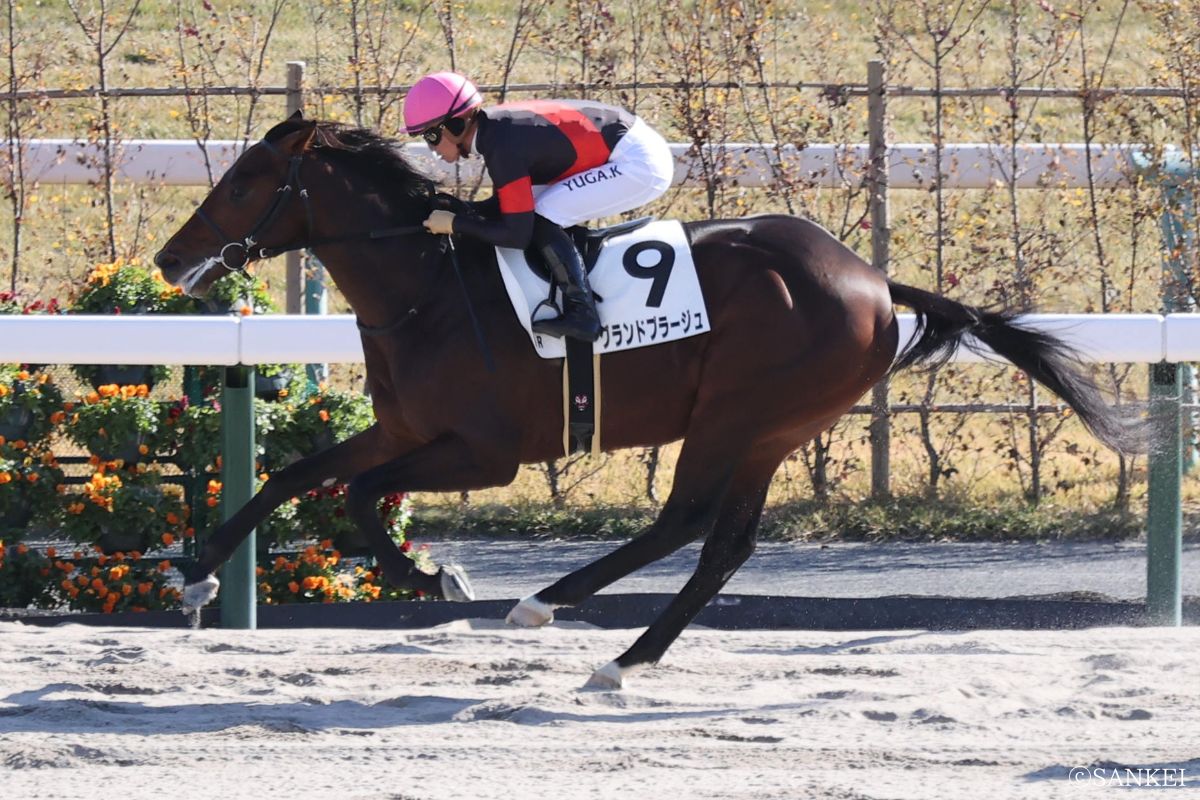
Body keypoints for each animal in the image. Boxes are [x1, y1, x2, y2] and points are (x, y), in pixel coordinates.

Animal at [154, 114, 1146, 689]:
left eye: (243, 181)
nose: (169, 258)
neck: (427, 287)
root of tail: (871, 281)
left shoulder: (485, 453)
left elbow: (359, 496)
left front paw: (428, 577)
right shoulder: (402, 430)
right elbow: (291, 478)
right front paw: (198, 571)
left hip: (738, 415)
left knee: (686, 523)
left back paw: (551, 607)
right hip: (773, 429)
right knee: (721, 544)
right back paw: (626, 653)